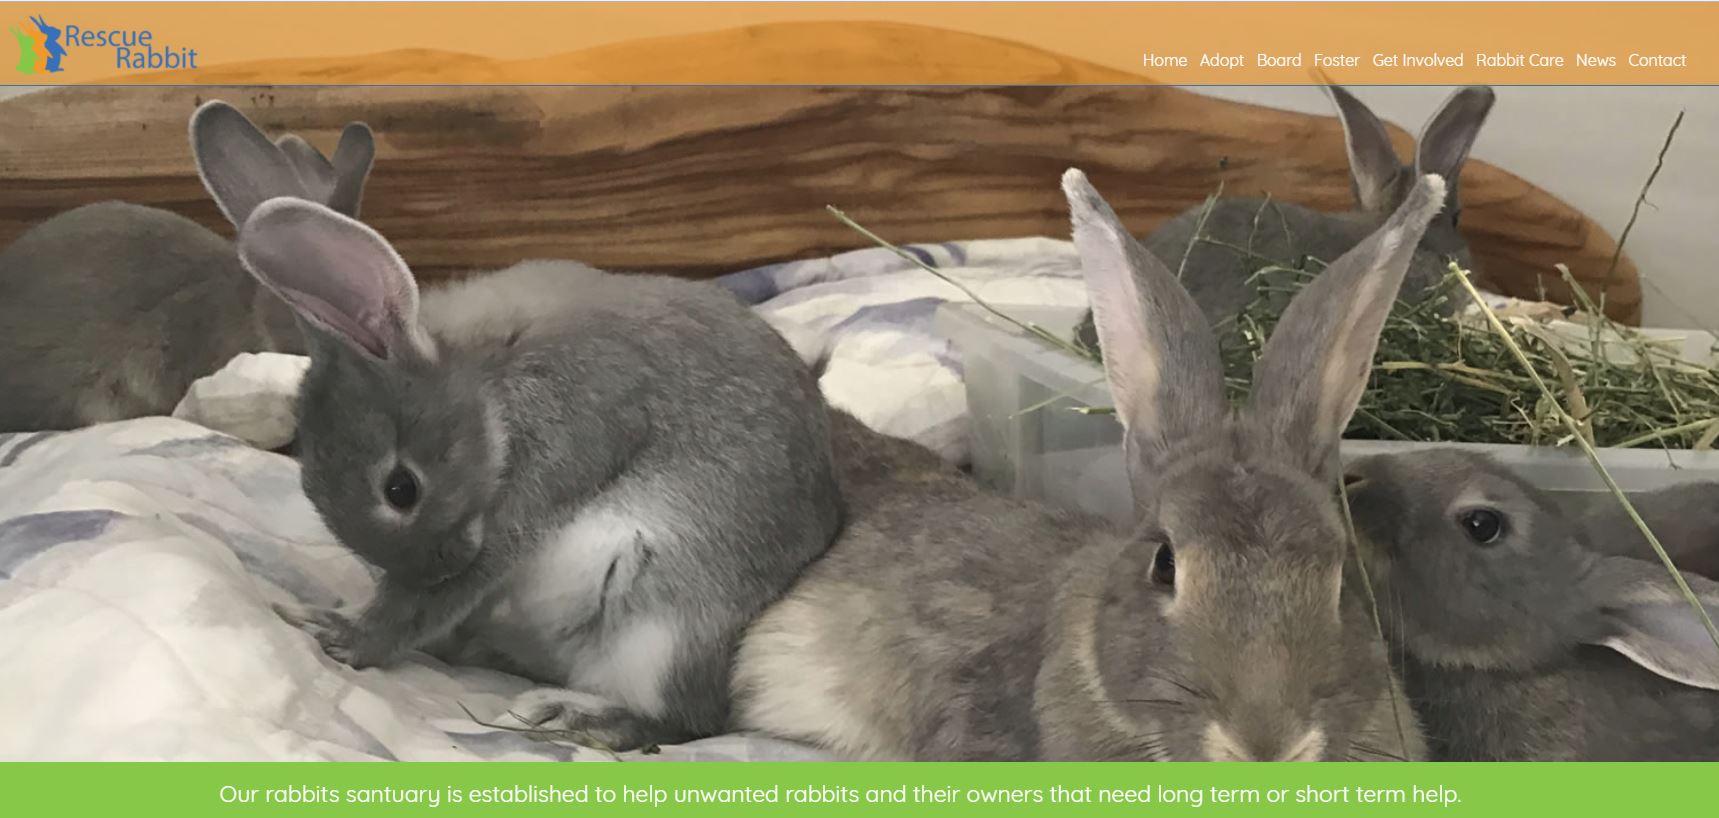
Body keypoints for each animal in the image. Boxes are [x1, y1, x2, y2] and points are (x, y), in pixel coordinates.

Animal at [236, 196, 844, 752]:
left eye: (400, 489)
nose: (439, 566)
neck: (487, 376)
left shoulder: (550, 458)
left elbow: (442, 595)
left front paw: (337, 633)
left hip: (663, 634)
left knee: (679, 722)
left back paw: (564, 716)